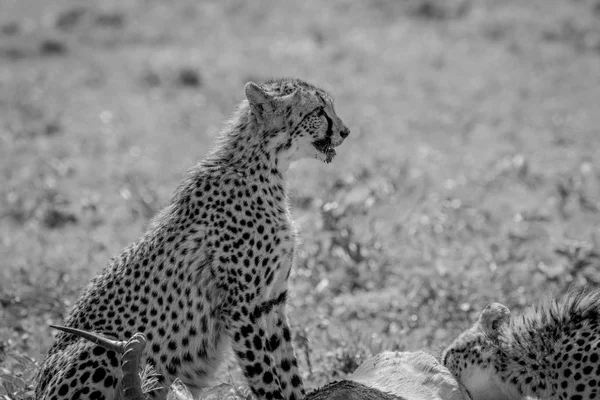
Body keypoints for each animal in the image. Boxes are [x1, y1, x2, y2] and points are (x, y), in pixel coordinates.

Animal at [34, 78, 352, 400]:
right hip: (99, 347)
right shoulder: (242, 309)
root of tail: (37, 387)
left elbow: (288, 371)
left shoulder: (271, 302)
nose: (345, 131)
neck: (265, 166)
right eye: (318, 110)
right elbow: (265, 376)